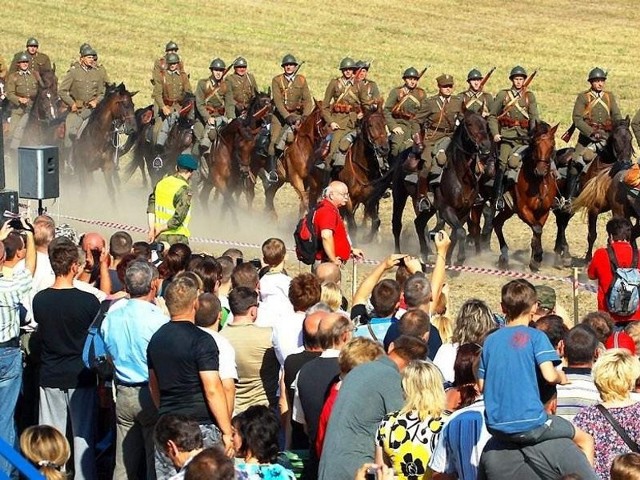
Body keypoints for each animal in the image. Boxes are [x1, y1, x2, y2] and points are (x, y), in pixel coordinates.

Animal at [364, 109, 496, 262]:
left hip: (430, 208)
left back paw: (424, 254)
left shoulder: (464, 211)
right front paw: (460, 258)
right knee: (397, 224)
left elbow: (455, 234)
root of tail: (401, 155)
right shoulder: (446, 209)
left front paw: (448, 260)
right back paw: (398, 254)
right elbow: (461, 232)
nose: (486, 146)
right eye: (469, 123)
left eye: (485, 124)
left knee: (419, 223)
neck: (460, 176)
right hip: (400, 196)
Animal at [492, 120, 556, 270]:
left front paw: (534, 261)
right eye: (536, 143)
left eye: (552, 145)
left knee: (496, 223)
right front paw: (537, 257)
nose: (540, 171)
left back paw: (504, 258)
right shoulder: (523, 210)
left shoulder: (543, 211)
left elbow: (537, 231)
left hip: (508, 210)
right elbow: (537, 229)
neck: (538, 182)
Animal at [568, 117, 636, 258]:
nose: (626, 162)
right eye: (615, 139)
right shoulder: (593, 209)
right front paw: (588, 257)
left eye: (630, 137)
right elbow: (592, 234)